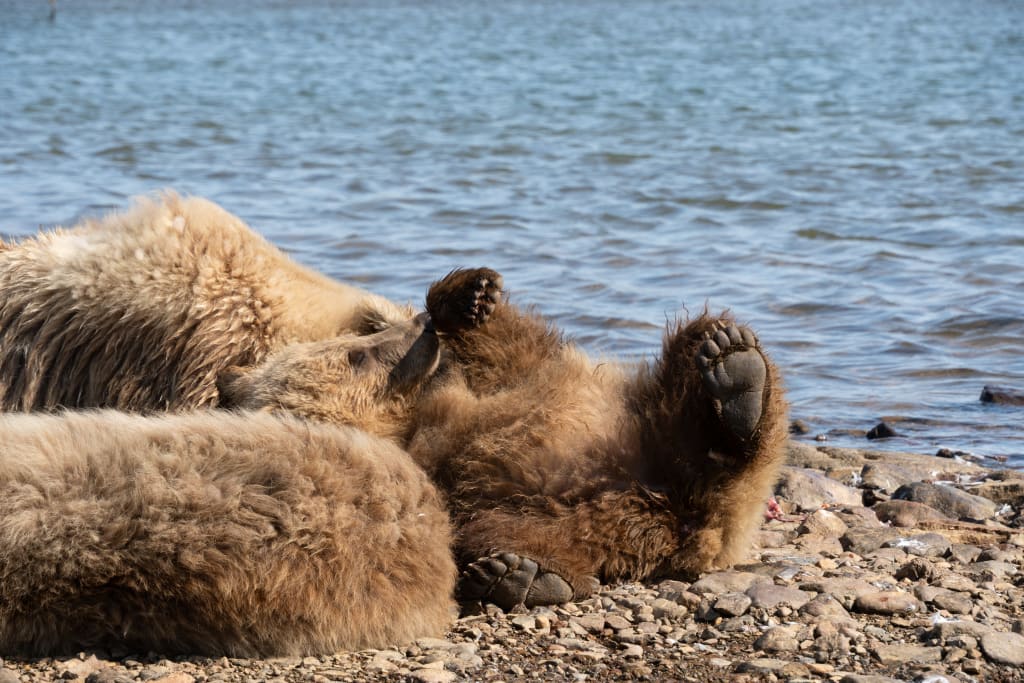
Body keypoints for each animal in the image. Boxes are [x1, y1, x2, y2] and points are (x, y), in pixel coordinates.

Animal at [221, 268, 790, 610]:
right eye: (355, 353)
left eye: (359, 337)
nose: (419, 329)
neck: (407, 425)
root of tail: (701, 525)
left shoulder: (494, 385)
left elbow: (511, 349)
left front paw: (469, 297)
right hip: (563, 518)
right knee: (515, 534)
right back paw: (521, 575)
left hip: (646, 417)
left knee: (691, 365)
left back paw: (733, 369)